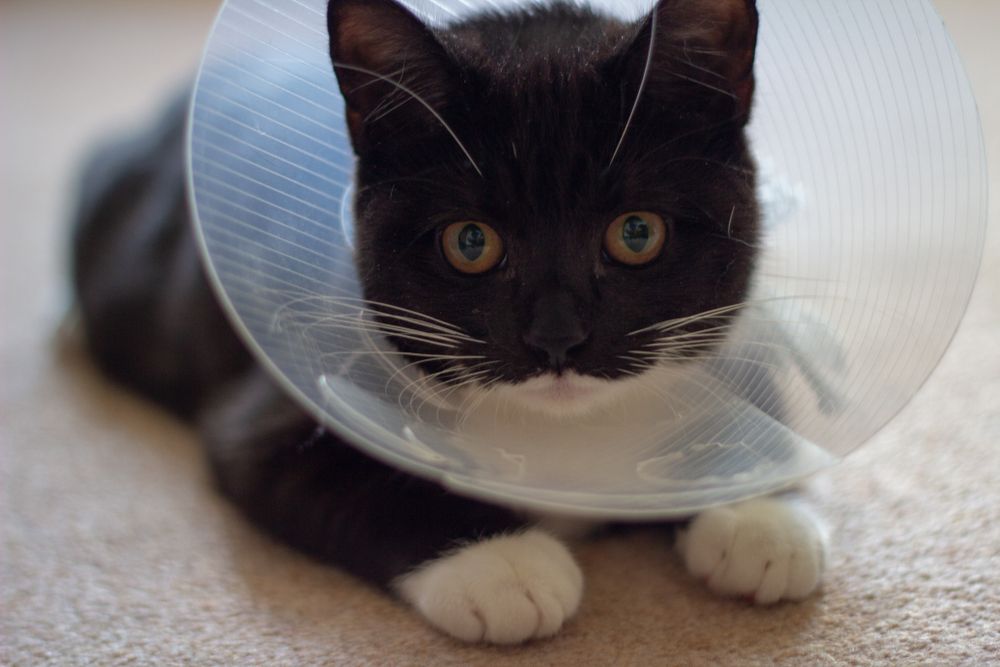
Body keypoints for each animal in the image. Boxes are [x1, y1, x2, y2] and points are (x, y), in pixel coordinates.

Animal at [70, 0, 828, 644]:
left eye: (636, 232)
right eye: (471, 242)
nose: (557, 338)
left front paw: (764, 513)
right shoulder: (269, 403)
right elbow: (331, 478)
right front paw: (498, 562)